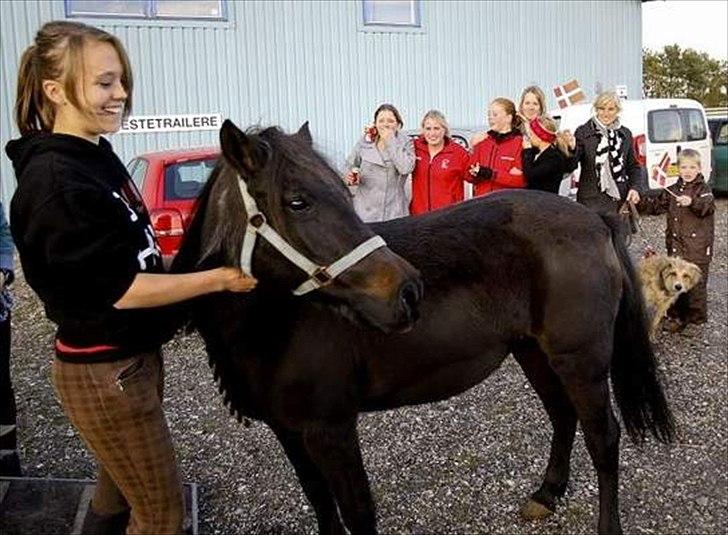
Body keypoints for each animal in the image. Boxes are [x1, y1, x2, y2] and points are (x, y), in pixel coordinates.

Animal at [173, 121, 672, 535]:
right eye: (298, 201)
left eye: (342, 194)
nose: (409, 291)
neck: (276, 326)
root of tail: (595, 219)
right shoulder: (289, 433)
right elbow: (320, 503)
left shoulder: (332, 430)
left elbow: (357, 512)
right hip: (534, 352)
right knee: (563, 416)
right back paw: (546, 494)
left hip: (580, 361)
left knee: (603, 438)